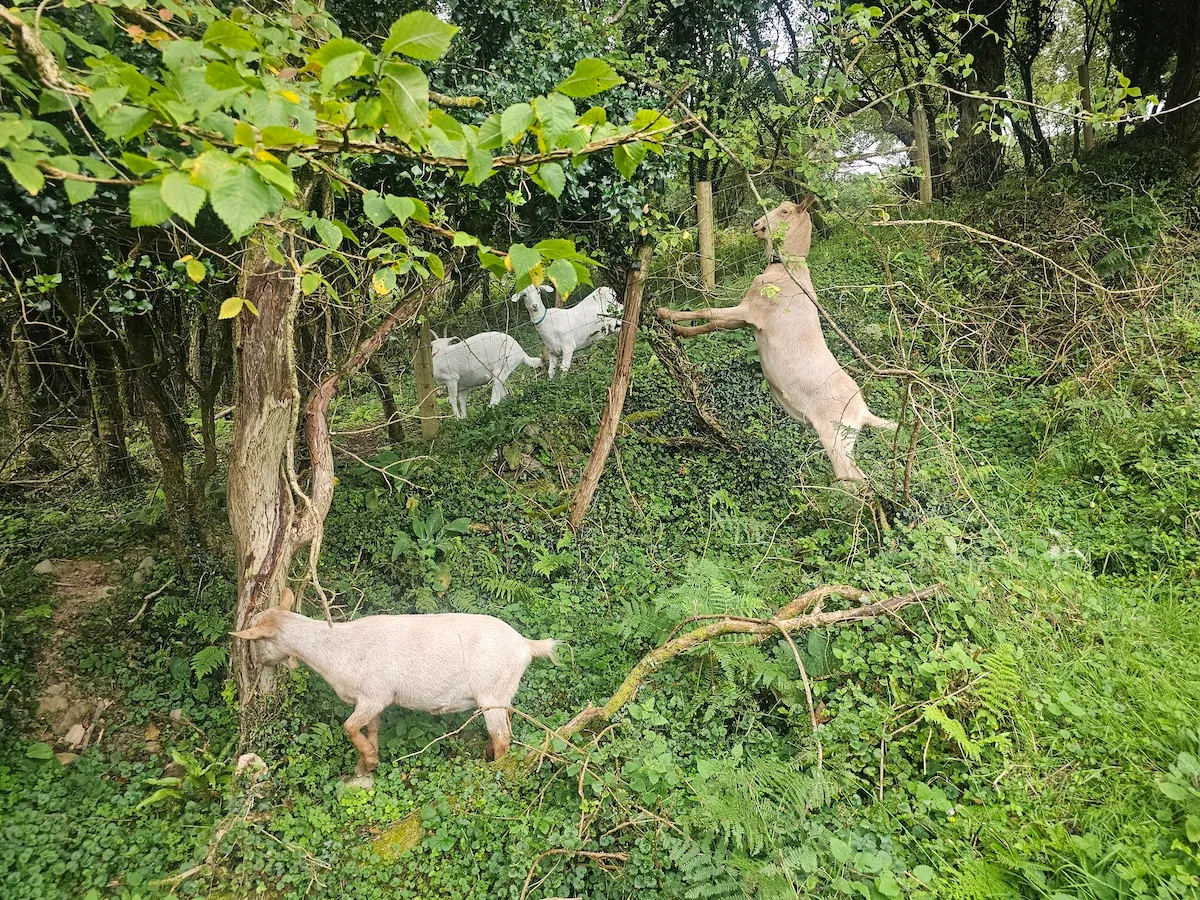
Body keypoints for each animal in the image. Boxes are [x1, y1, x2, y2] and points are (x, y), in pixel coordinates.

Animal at [231, 591, 558, 776]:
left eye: (257, 640)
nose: (257, 663)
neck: (335, 648)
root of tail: (525, 645)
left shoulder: (373, 695)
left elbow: (349, 726)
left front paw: (369, 760)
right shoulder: (371, 700)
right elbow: (372, 728)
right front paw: (366, 766)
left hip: (492, 691)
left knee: (502, 736)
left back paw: (496, 771)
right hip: (503, 694)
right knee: (506, 729)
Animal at [657, 197, 895, 482]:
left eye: (785, 211)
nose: (755, 224)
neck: (787, 270)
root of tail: (862, 412)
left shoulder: (751, 310)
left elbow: (708, 312)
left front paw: (664, 314)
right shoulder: (745, 320)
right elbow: (713, 323)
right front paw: (679, 331)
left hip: (835, 435)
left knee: (853, 479)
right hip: (845, 439)